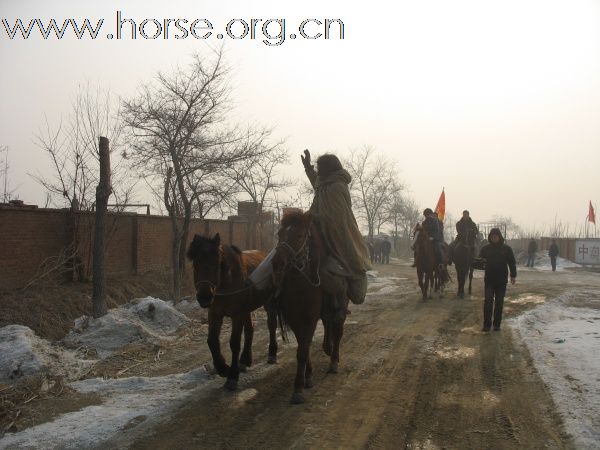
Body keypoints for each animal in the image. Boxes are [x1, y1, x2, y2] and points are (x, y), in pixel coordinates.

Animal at [186, 234, 278, 392]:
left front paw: (232, 376)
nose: (204, 296)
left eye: (217, 263)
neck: (225, 285)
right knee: (250, 330)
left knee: (271, 325)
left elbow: (234, 343)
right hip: (246, 309)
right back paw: (245, 360)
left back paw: (272, 353)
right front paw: (223, 368)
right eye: (196, 263)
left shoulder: (236, 315)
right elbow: (212, 341)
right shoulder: (215, 314)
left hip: (268, 303)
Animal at [272, 211, 346, 404]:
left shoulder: (310, 319)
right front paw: (308, 375)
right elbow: (302, 345)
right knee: (328, 324)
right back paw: (327, 347)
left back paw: (334, 361)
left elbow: (303, 350)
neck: (300, 285)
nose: (277, 263)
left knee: (338, 330)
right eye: (279, 234)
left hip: (341, 308)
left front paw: (298, 388)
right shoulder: (294, 319)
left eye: (299, 236)